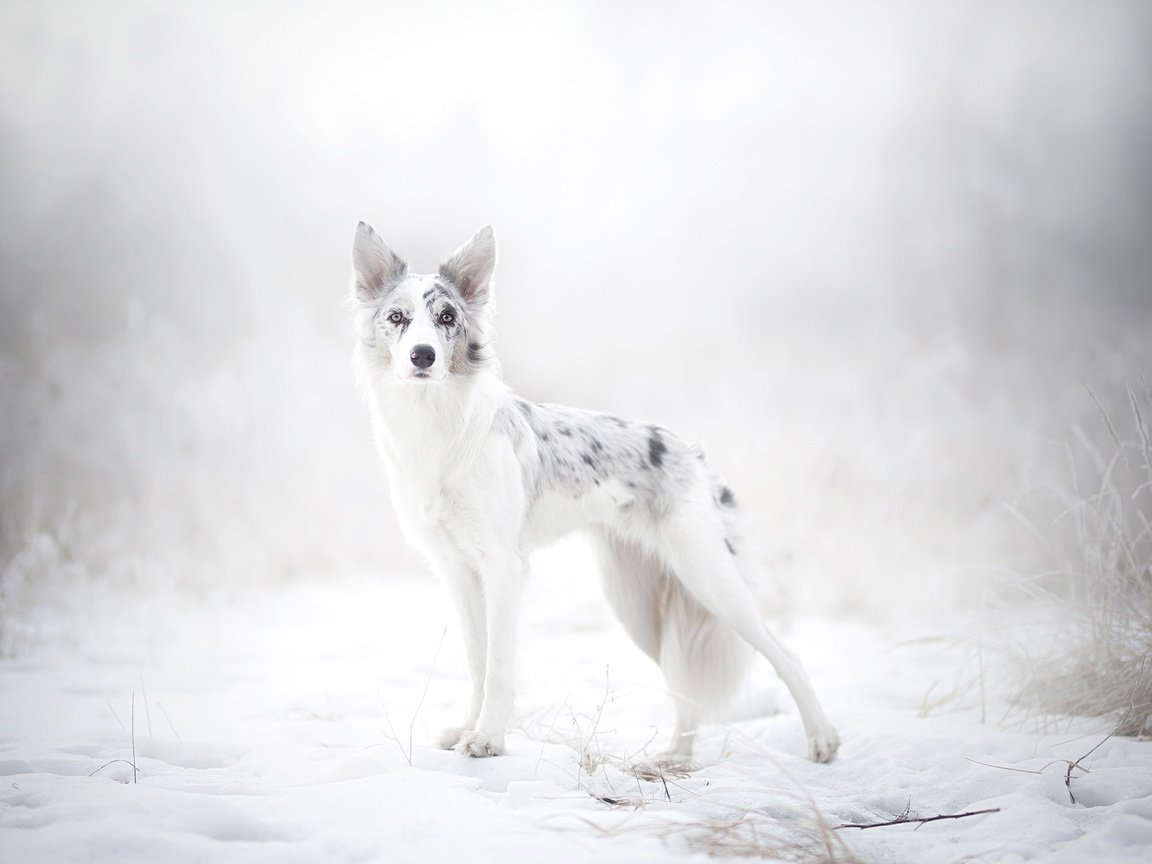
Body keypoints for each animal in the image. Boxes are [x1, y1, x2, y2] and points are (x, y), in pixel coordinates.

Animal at [345, 223, 843, 764]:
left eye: (447, 318)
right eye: (397, 318)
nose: (423, 355)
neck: (436, 426)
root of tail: (691, 453)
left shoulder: (504, 567)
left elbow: (498, 667)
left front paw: (488, 738)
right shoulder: (457, 570)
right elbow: (478, 661)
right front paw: (466, 730)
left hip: (709, 579)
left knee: (787, 655)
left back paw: (822, 738)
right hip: (636, 604)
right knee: (684, 683)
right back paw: (676, 758)